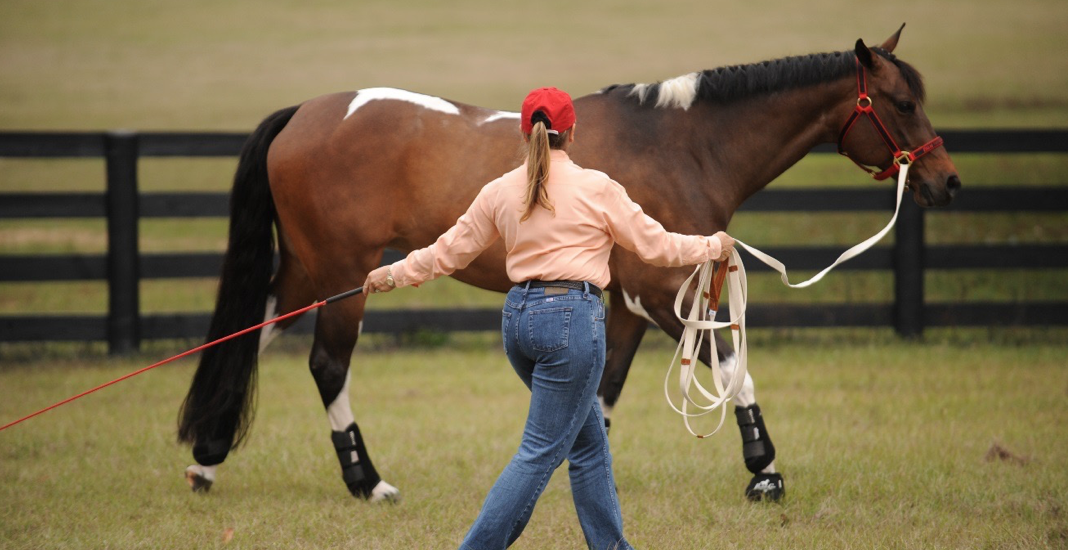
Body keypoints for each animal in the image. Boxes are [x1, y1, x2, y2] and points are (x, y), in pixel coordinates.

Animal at [175, 25, 961, 504]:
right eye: (901, 101)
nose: (947, 182)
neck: (680, 144)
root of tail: (305, 112)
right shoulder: (664, 292)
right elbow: (733, 370)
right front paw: (764, 473)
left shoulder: (625, 302)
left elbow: (604, 390)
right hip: (343, 277)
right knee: (327, 367)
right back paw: (368, 482)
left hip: (305, 277)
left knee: (249, 340)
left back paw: (206, 459)